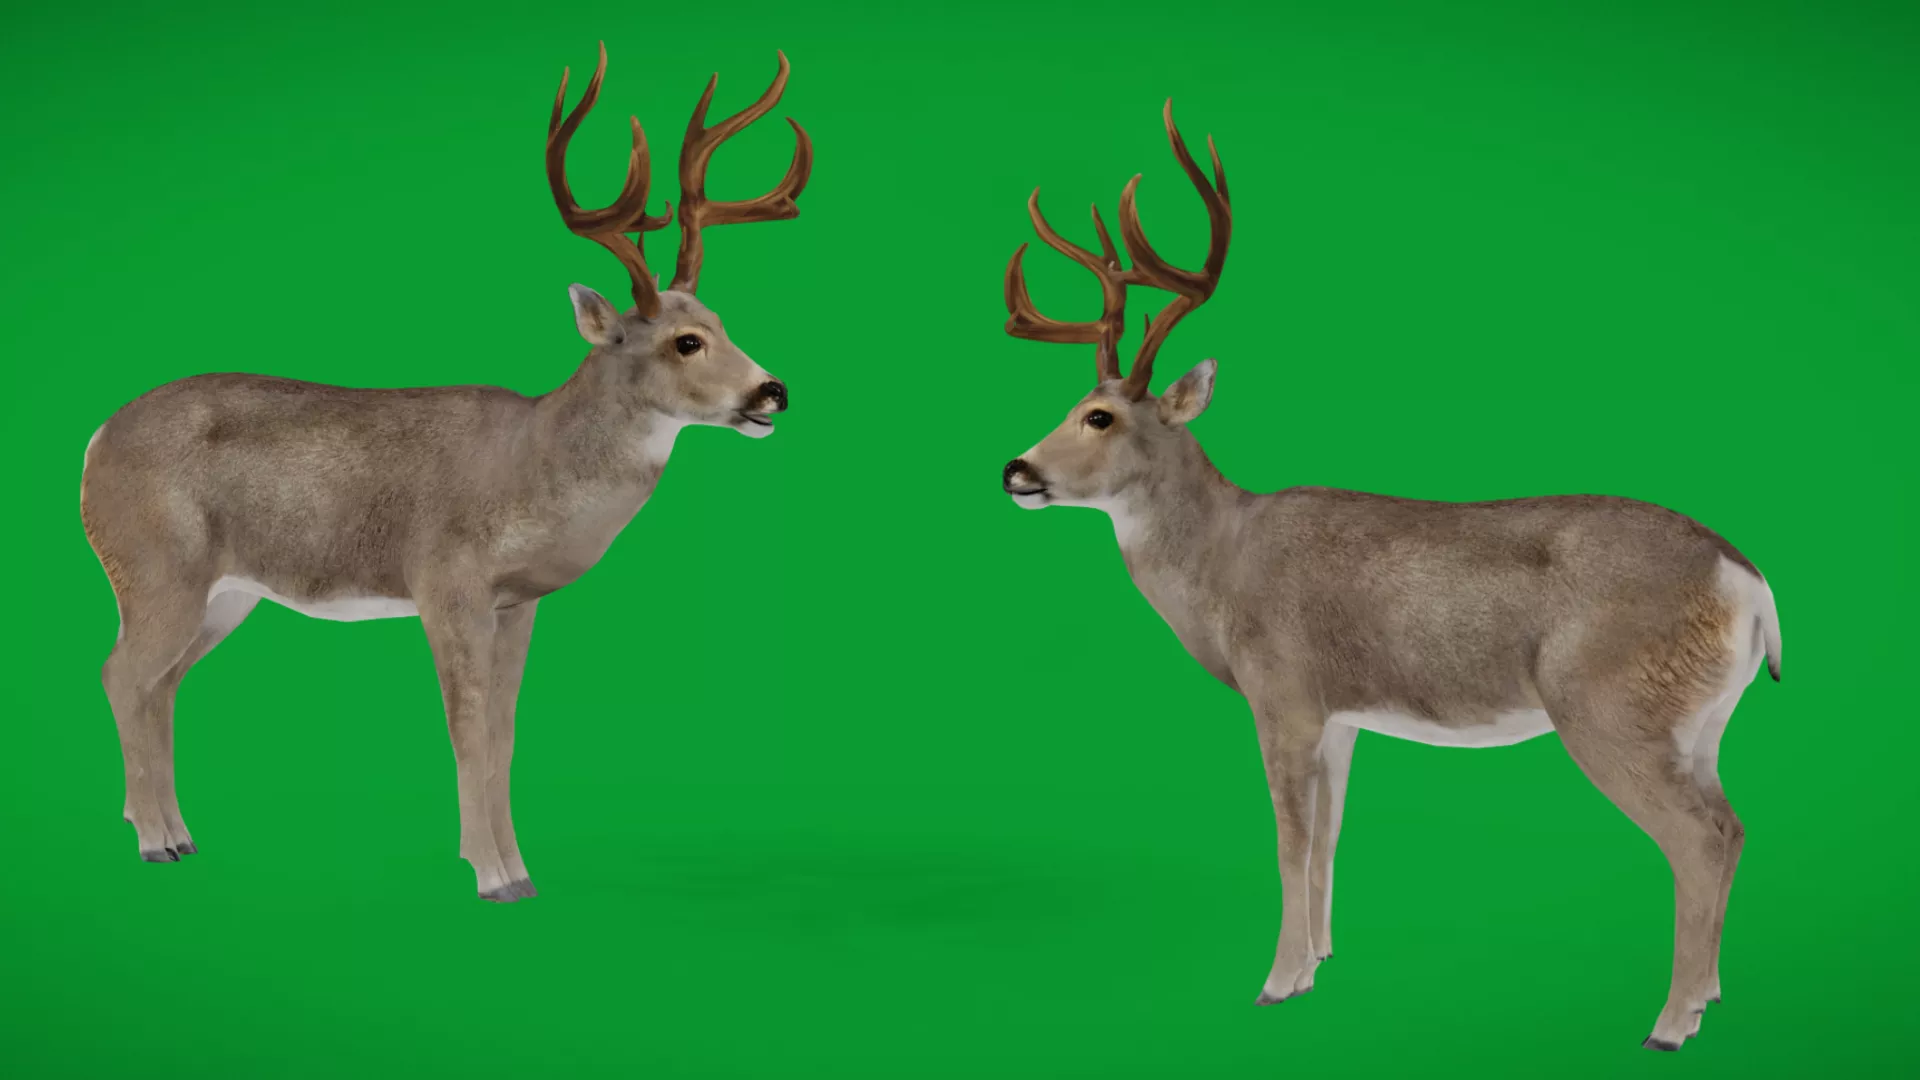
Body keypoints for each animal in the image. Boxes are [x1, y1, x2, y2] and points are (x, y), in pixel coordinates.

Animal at [77, 43, 811, 903]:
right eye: (684, 341)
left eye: (724, 322)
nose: (772, 390)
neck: (534, 464)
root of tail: (92, 443)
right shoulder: (447, 583)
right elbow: (466, 731)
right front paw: (493, 874)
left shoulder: (518, 602)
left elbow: (504, 736)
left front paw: (513, 867)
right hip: (157, 567)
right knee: (121, 674)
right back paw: (154, 840)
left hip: (225, 595)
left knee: (160, 685)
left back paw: (179, 835)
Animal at [996, 100, 1782, 1051]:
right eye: (1071, 407)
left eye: (1100, 417)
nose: (1016, 471)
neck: (1222, 565)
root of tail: (1749, 583)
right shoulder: (1342, 716)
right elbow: (1329, 839)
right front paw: (1318, 964)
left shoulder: (1284, 693)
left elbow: (1289, 841)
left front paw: (1277, 981)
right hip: (1700, 721)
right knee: (1731, 827)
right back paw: (1708, 998)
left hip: (1609, 707)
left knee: (1699, 839)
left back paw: (1669, 1024)